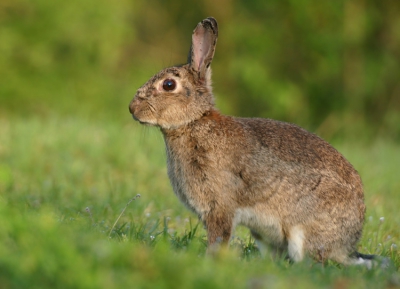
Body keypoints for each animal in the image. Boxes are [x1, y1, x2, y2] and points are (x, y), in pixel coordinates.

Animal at [129, 17, 378, 266]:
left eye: (168, 85)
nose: (132, 108)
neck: (194, 122)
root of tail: (347, 245)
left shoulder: (220, 207)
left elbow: (218, 237)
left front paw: (210, 260)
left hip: (304, 231)